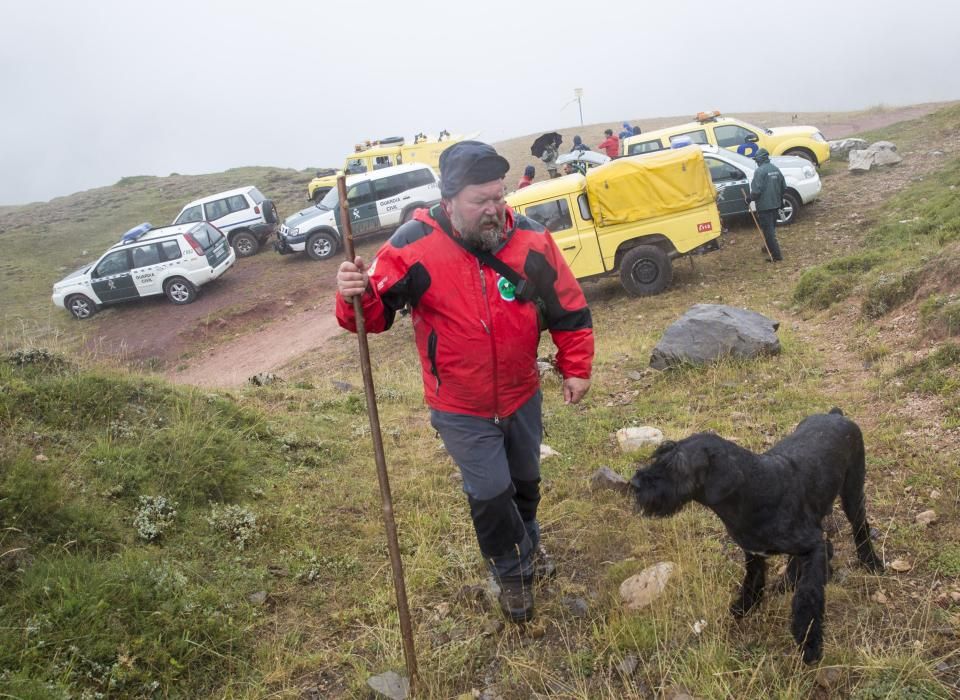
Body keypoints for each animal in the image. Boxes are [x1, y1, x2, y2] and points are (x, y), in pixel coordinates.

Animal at [632, 408, 884, 664]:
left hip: (853, 492)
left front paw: (809, 643)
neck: (754, 490)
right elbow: (752, 582)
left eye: (677, 466)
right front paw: (744, 608)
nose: (635, 484)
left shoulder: (813, 545)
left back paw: (870, 561)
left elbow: (807, 597)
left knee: (860, 526)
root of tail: (836, 414)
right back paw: (790, 579)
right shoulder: (753, 553)